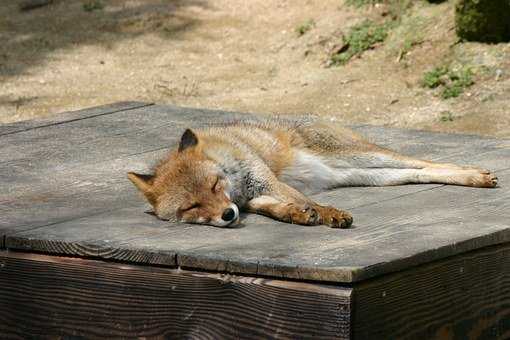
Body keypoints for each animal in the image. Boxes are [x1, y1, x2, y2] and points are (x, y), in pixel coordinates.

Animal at [127, 117, 498, 228]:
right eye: (191, 206)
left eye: (216, 184)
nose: (228, 216)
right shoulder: (253, 200)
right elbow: (282, 208)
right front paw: (296, 215)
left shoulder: (265, 179)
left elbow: (307, 200)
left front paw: (329, 214)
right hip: (369, 175)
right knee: (419, 174)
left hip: (366, 156)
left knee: (427, 163)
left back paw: (474, 175)